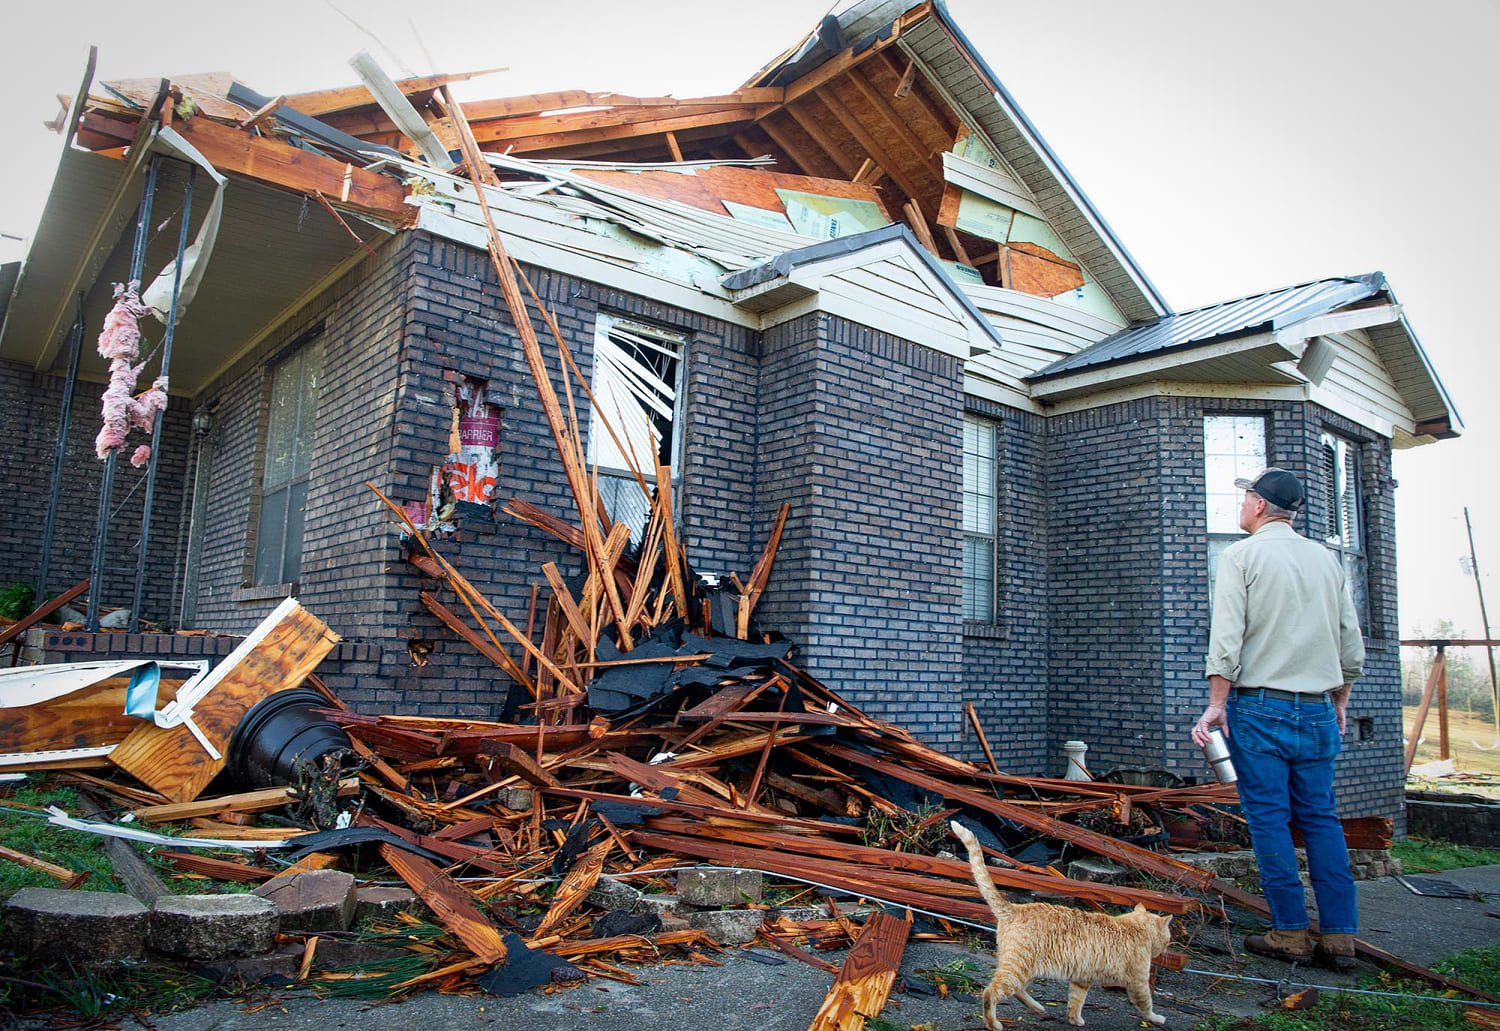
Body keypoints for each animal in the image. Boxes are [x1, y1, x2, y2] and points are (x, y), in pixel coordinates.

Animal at [948, 822, 1170, 1026]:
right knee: (990, 992)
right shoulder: (1138, 981)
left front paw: (1074, 1019)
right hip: (1019, 968)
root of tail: (1015, 908)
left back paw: (1038, 1007)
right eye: (1168, 941)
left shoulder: (1082, 979)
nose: (1165, 950)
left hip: (1024, 968)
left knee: (1016, 990)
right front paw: (1156, 1018)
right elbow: (1146, 1003)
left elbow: (1076, 1001)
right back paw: (994, 1023)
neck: (1135, 926)